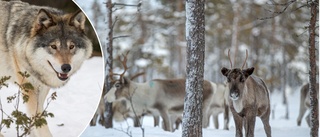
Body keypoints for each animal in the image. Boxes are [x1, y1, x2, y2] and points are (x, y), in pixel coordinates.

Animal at [0, 0, 92, 136]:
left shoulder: (42, 89)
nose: (66, 68)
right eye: (53, 46)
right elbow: (40, 124)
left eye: (71, 46)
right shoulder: (29, 88)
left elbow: (35, 120)